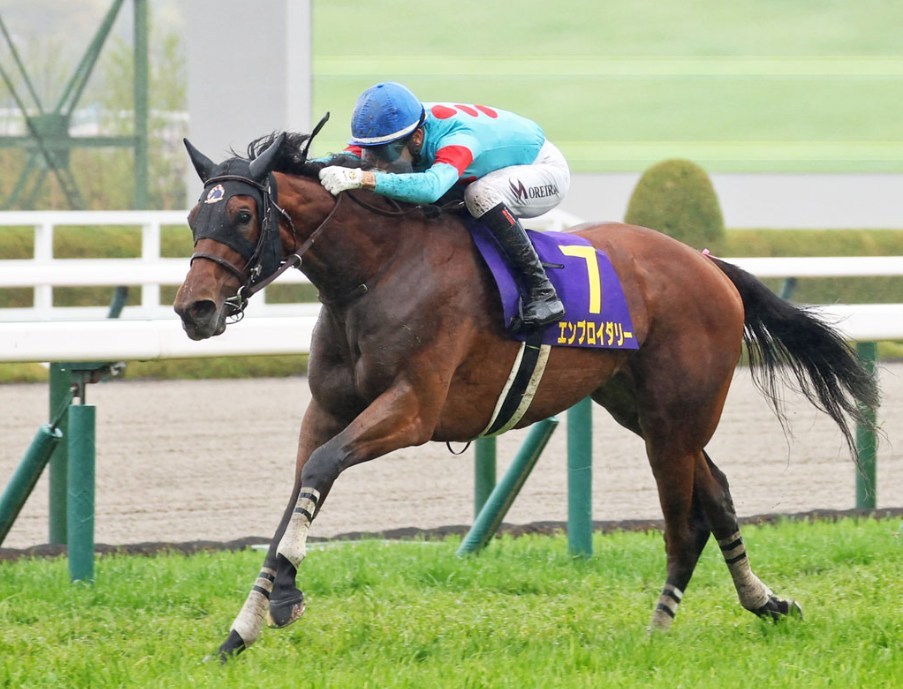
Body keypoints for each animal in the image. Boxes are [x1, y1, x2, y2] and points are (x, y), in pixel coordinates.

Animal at [174, 128, 878, 661]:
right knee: (719, 497)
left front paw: (283, 600)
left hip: (677, 419)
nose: (194, 310)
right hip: (647, 414)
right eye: (193, 216)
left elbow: (321, 470)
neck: (377, 271)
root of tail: (708, 263)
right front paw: (241, 631)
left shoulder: (413, 410)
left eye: (242, 214)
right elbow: (296, 496)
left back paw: (655, 634)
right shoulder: (325, 411)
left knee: (685, 526)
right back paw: (767, 602)